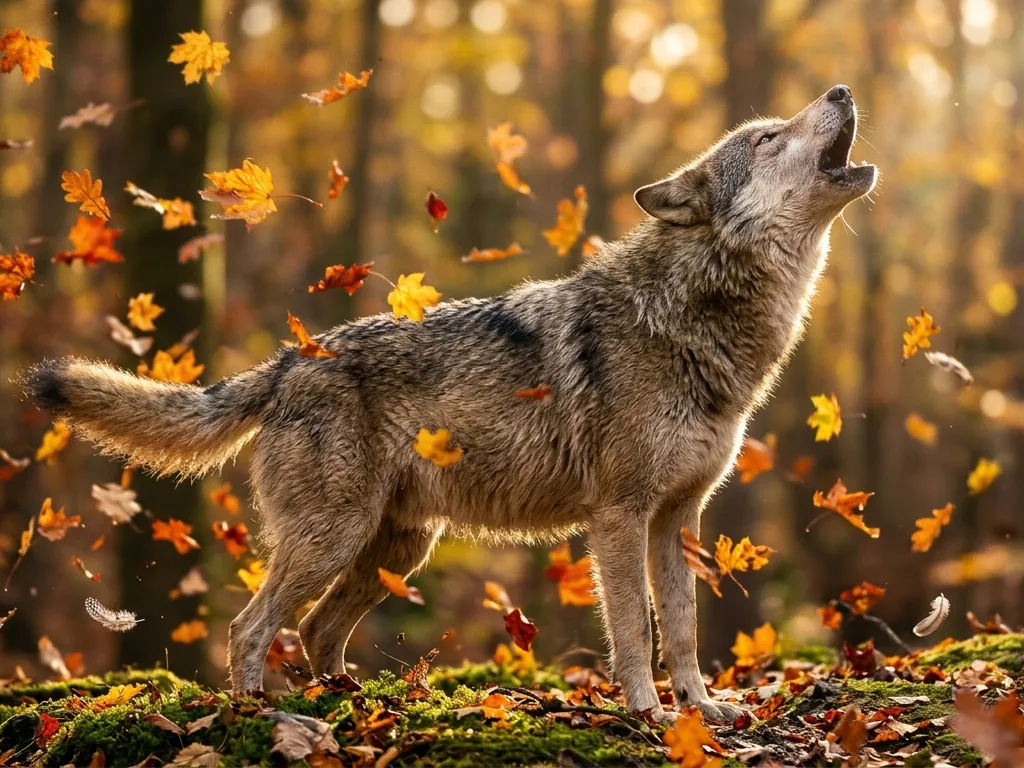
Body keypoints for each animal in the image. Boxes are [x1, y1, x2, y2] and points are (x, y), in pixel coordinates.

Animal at [24, 84, 875, 723]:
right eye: (767, 137)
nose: (840, 90)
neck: (693, 317)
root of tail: (290, 358)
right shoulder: (620, 517)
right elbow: (636, 629)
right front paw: (647, 713)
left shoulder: (678, 520)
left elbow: (687, 630)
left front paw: (703, 711)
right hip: (336, 537)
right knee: (251, 626)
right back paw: (262, 715)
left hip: (397, 549)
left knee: (316, 630)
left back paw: (355, 706)